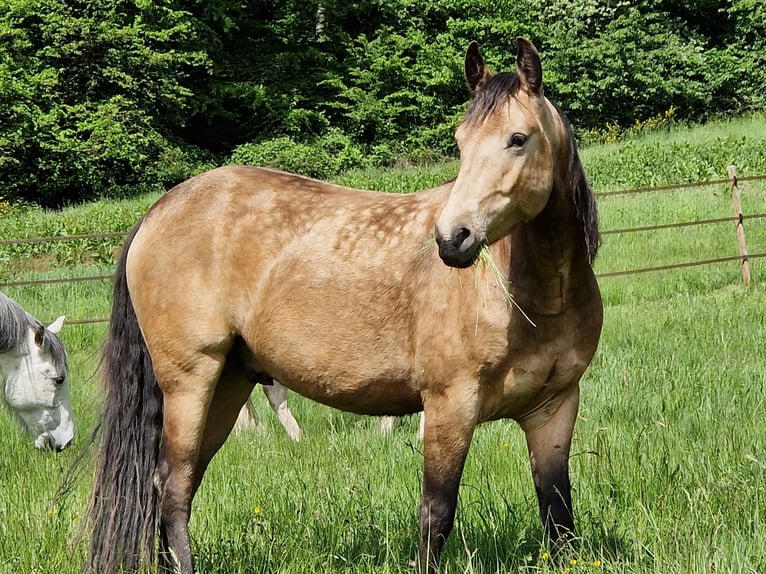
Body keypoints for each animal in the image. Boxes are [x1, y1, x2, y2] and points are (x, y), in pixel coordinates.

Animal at [85, 37, 602, 573]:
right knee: (171, 487)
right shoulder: (449, 406)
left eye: (518, 139)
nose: (451, 238)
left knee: (178, 486)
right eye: (460, 142)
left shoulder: (554, 409)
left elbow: (558, 511)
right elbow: (436, 512)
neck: (535, 297)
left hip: (227, 385)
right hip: (190, 384)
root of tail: (158, 210)